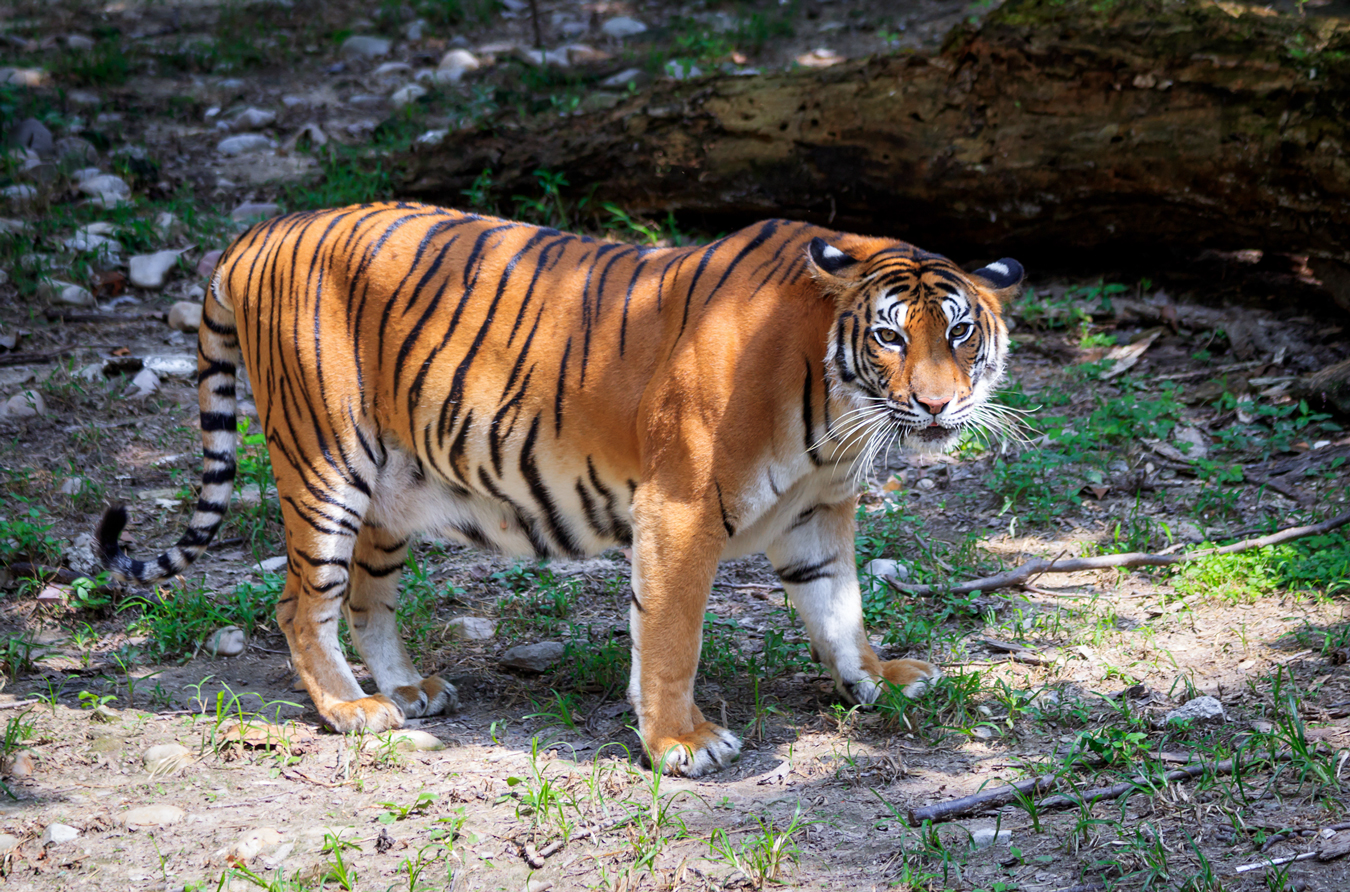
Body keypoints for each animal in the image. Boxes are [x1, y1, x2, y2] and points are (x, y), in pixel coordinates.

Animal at [98, 202, 1023, 777]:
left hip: (390, 488)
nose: (938, 404)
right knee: (299, 605)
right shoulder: (682, 509)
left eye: (960, 332)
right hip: (326, 464)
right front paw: (679, 743)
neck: (836, 412)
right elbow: (672, 636)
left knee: (365, 600)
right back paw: (353, 712)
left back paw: (406, 689)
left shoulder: (816, 517)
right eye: (890, 337)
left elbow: (841, 612)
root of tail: (257, 233)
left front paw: (878, 681)